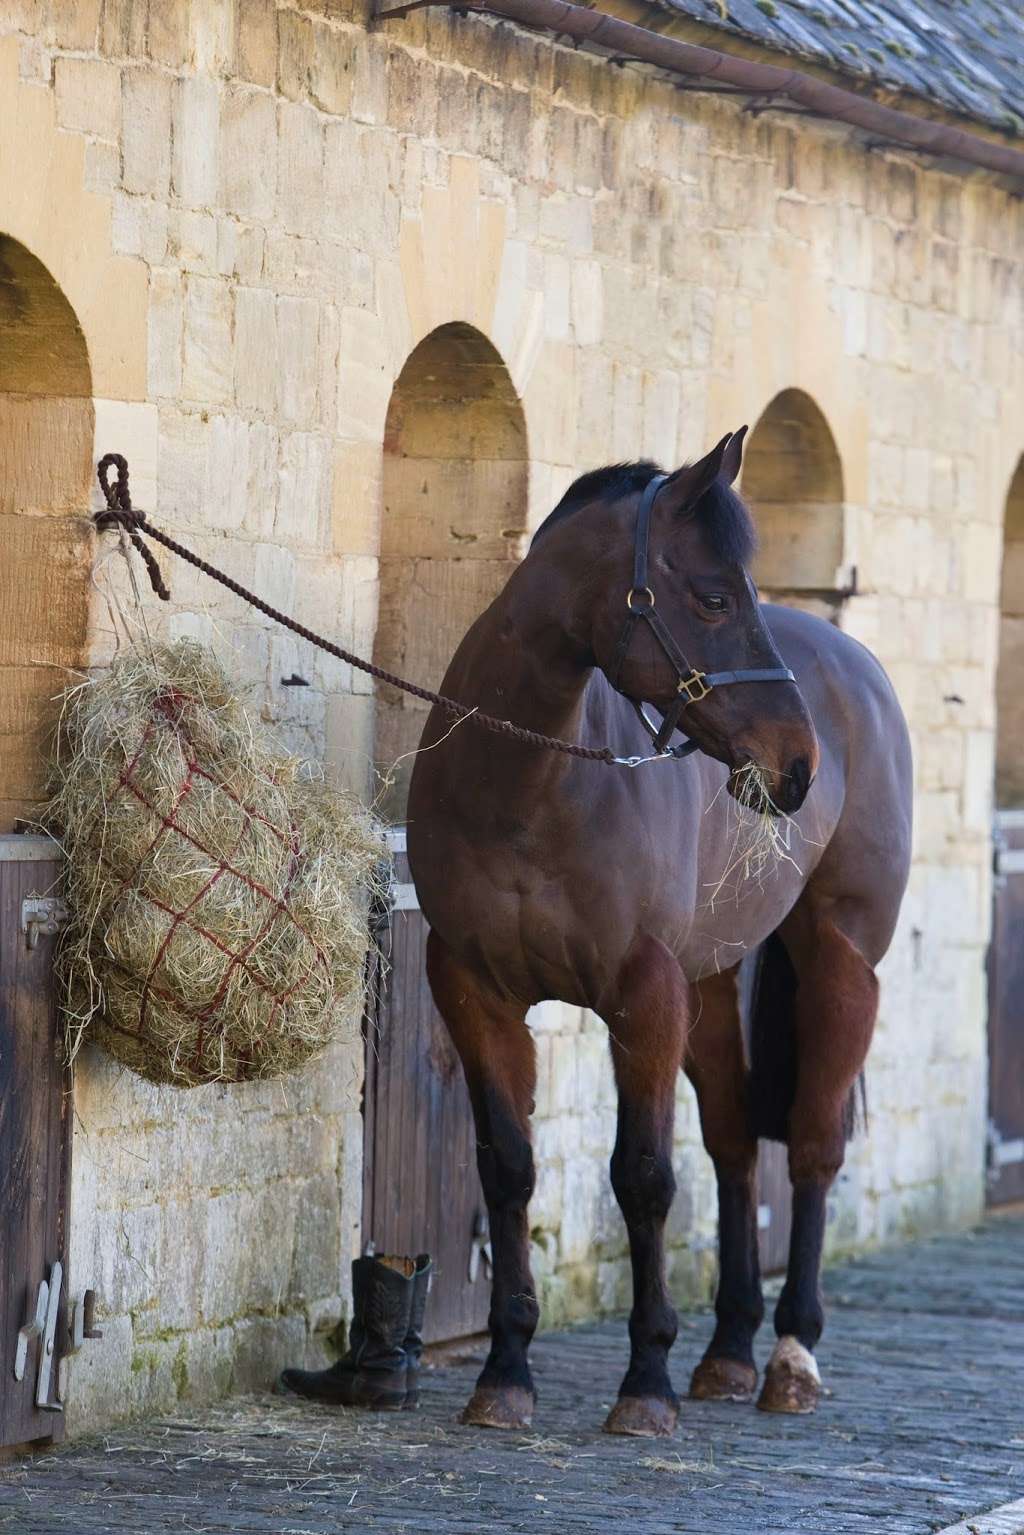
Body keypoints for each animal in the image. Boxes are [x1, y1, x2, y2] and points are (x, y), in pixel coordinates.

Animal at [405, 432, 908, 1436]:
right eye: (713, 596)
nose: (797, 765)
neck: (531, 785)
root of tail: (857, 665)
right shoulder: (475, 991)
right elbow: (508, 1167)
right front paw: (505, 1371)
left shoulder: (643, 996)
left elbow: (641, 1175)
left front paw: (645, 1380)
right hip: (711, 985)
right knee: (735, 1143)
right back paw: (728, 1351)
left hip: (841, 963)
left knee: (813, 1144)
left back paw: (790, 1357)